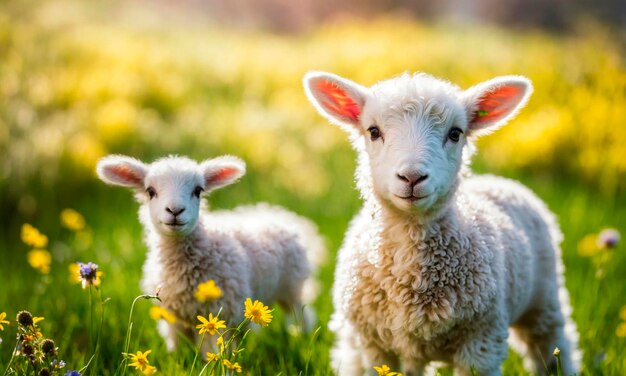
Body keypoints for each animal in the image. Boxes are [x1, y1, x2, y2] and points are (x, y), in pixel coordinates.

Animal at [96, 154, 326, 352]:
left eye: (198, 191)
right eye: (150, 191)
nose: (175, 211)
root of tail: (279, 212)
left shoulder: (218, 312)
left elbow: (213, 352)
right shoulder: (172, 318)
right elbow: (177, 351)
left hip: (292, 287)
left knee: (301, 315)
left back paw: (302, 338)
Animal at [302, 71, 580, 376]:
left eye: (455, 133)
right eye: (373, 131)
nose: (412, 177)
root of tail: (500, 181)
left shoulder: (481, 343)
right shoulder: (372, 345)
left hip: (544, 297)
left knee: (553, 344)